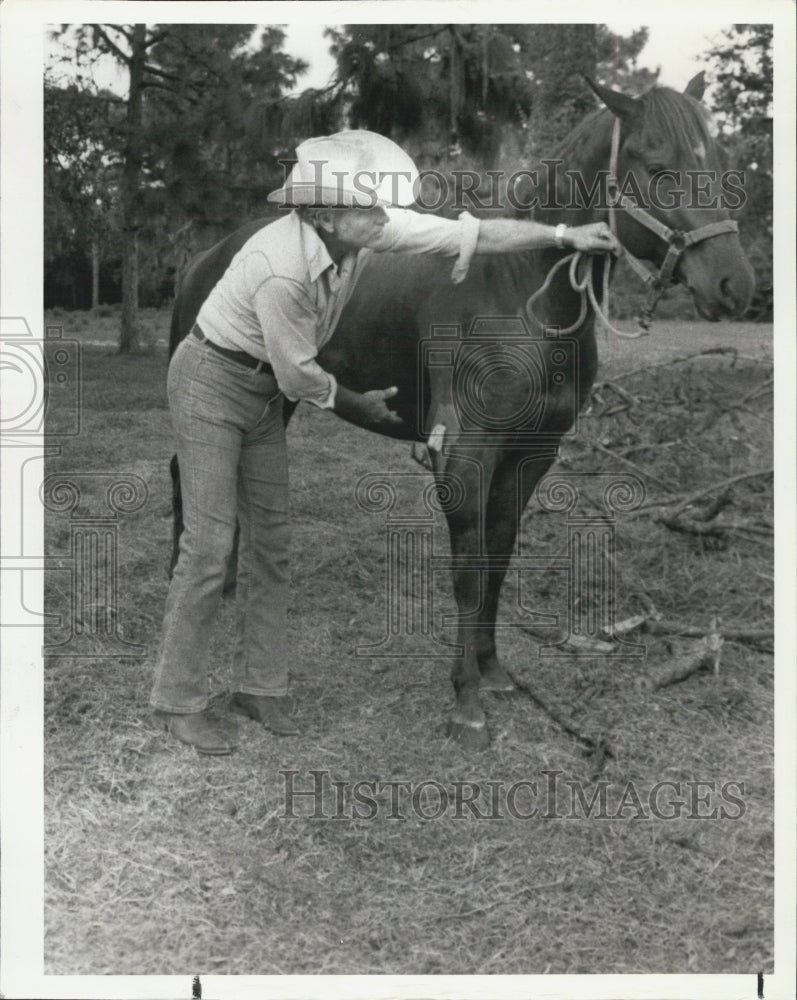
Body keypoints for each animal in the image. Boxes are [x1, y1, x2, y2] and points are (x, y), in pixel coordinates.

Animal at [166, 76, 752, 752]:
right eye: (657, 167)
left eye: (722, 165)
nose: (734, 285)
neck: (521, 294)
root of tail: (209, 256)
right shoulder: (466, 456)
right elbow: (468, 570)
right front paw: (467, 702)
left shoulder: (530, 454)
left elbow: (497, 556)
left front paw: (493, 671)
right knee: (186, 477)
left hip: (277, 400)